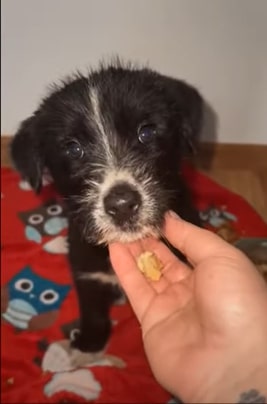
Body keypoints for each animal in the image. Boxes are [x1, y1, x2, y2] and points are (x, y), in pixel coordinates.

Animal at [9, 60, 203, 356]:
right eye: (73, 148)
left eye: (146, 132)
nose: (122, 205)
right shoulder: (85, 271)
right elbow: (92, 309)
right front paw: (90, 342)